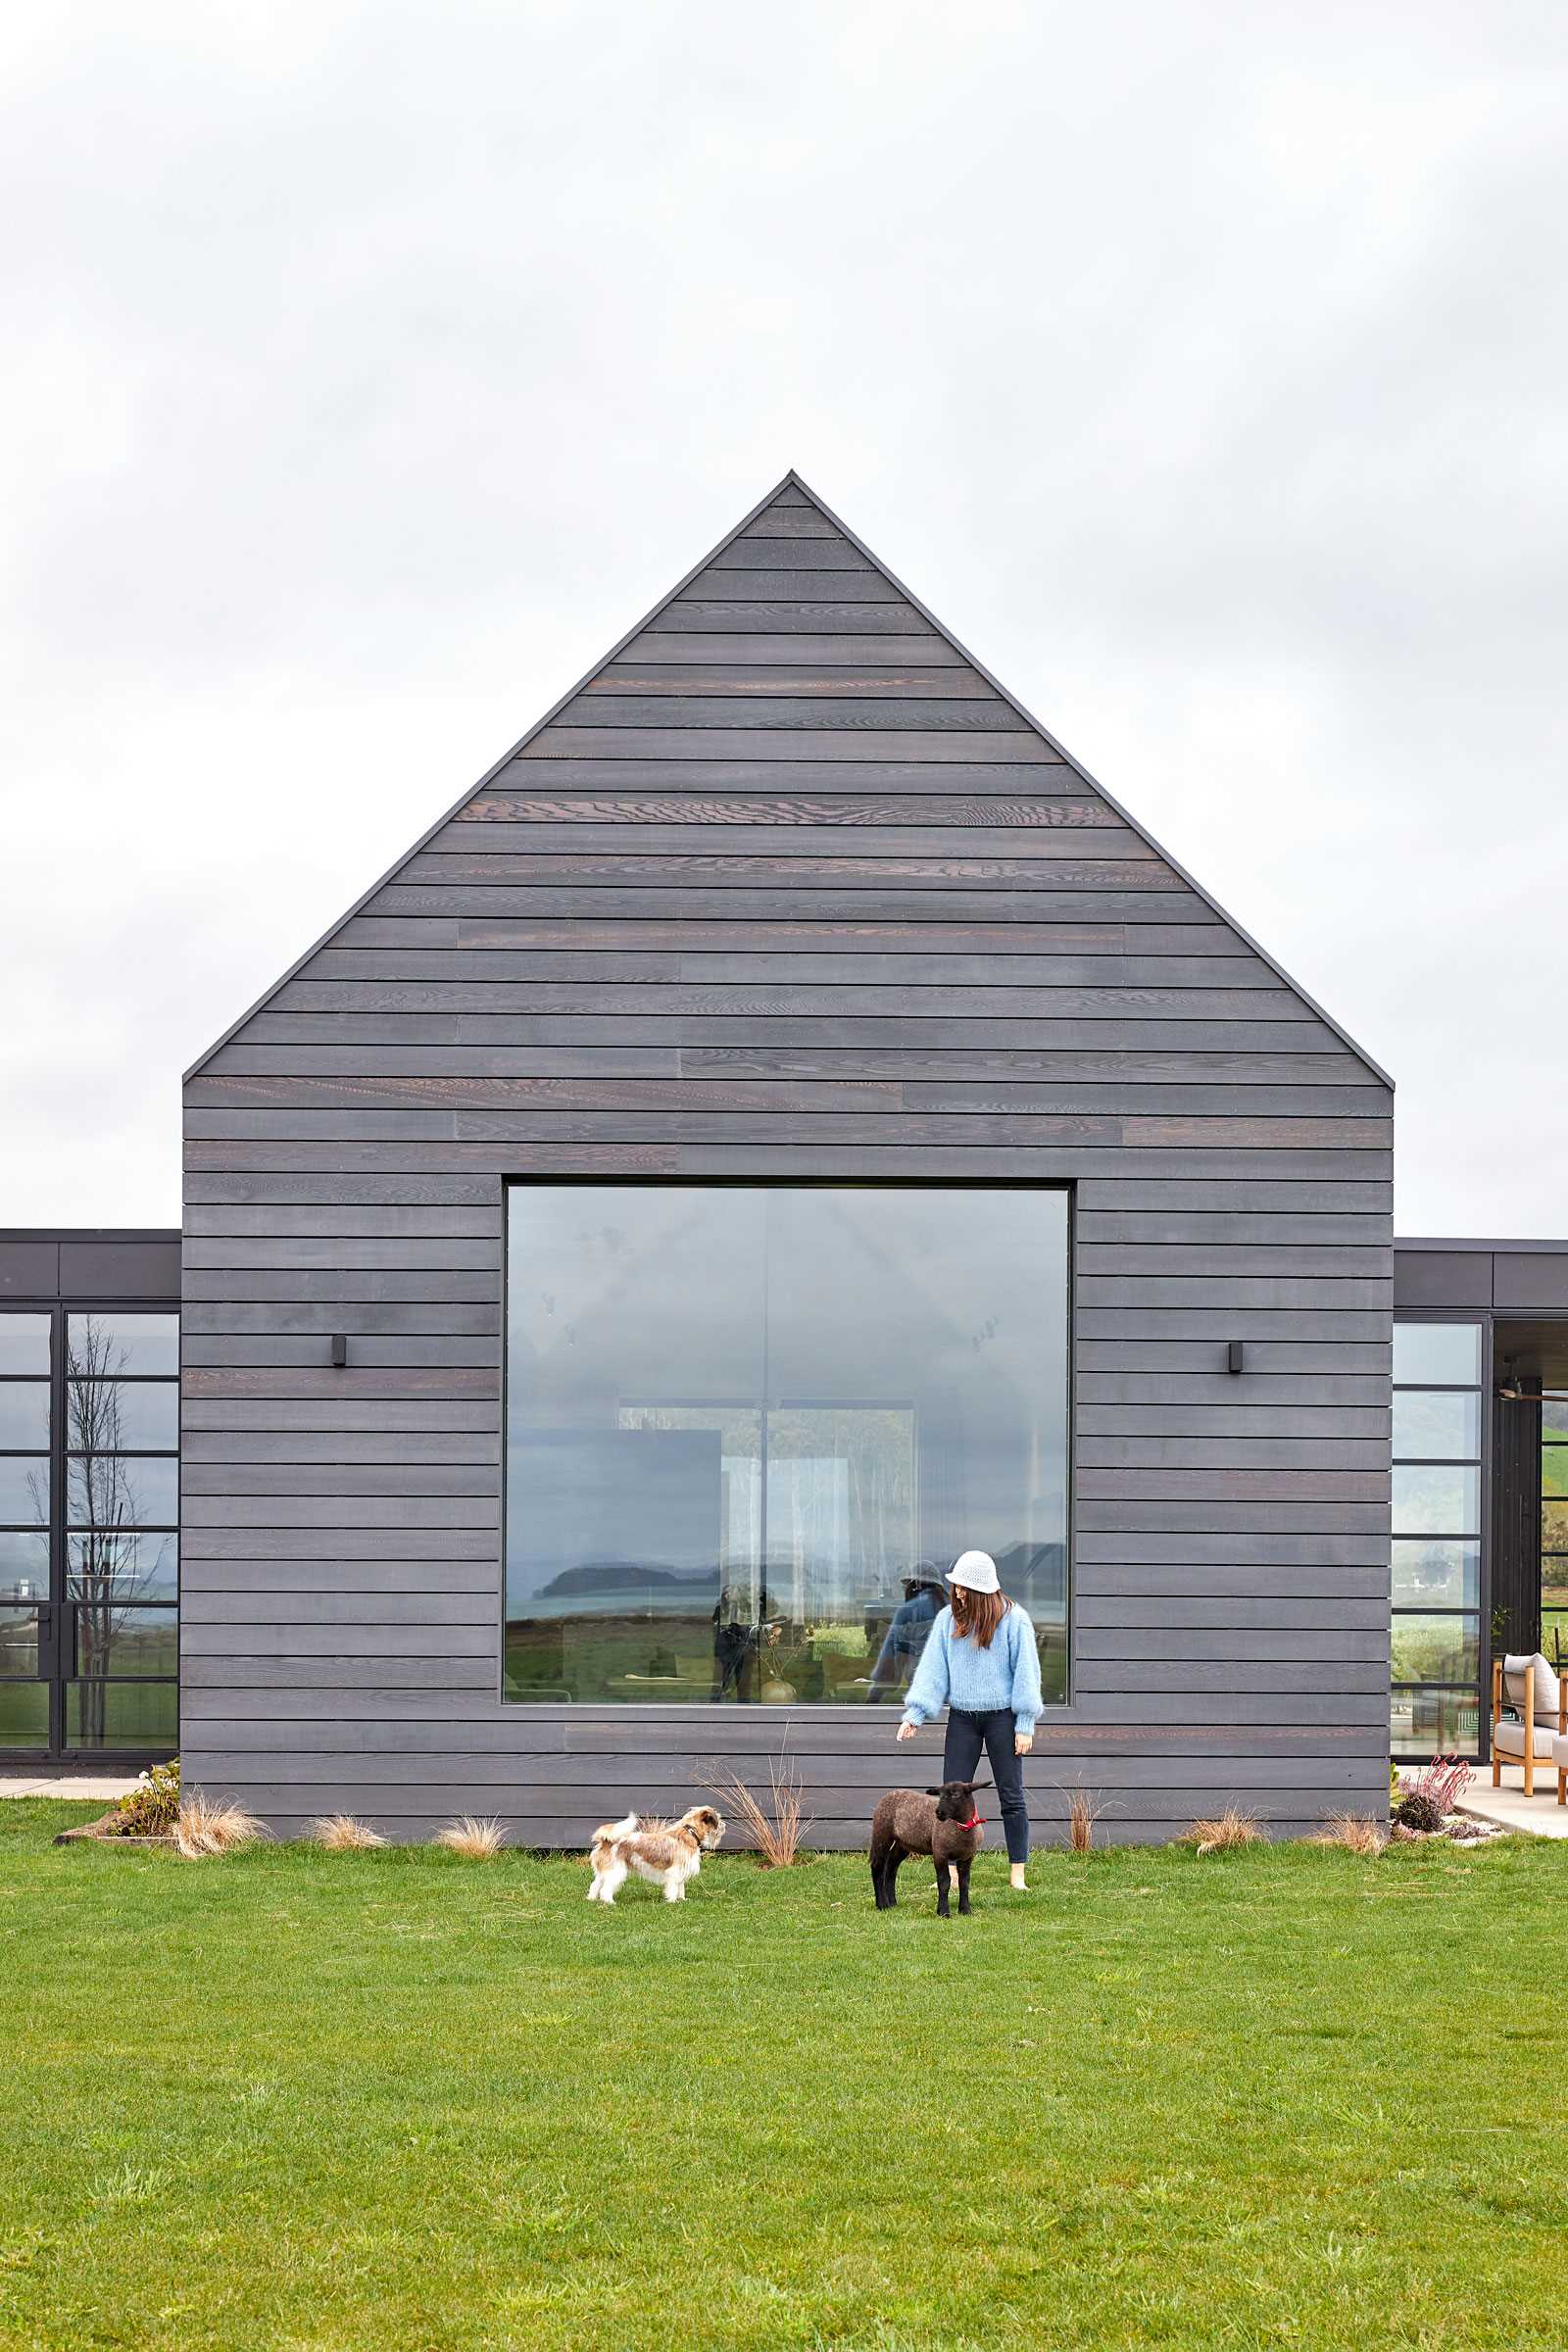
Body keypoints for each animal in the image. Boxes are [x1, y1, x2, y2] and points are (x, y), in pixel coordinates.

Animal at [585, 1806, 728, 1900]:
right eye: (718, 1819)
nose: (724, 1825)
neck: (689, 1833)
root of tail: (605, 1841)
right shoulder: (674, 1872)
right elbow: (674, 1888)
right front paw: (672, 1901)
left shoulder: (681, 1871)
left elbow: (681, 1887)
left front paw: (682, 1900)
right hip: (616, 1872)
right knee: (605, 1889)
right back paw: (609, 1902)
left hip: (604, 1872)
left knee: (595, 1885)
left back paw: (592, 1898)